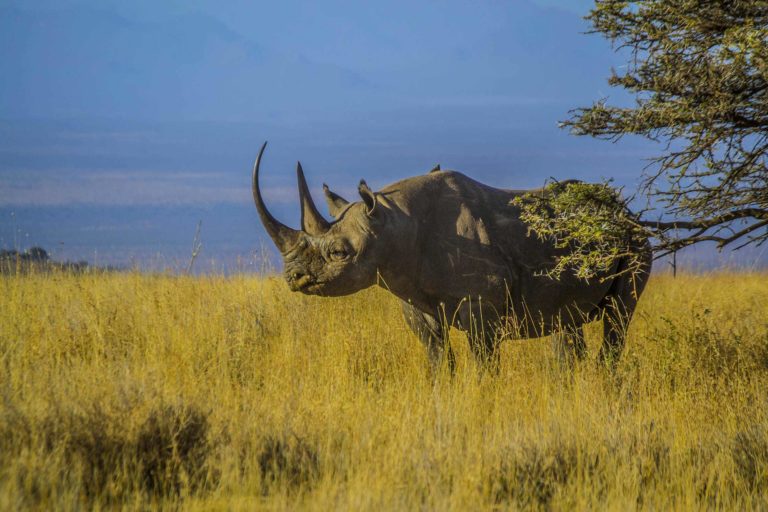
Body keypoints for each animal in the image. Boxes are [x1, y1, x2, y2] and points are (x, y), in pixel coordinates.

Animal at [250, 142, 648, 370]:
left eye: (338, 252)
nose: (294, 277)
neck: (394, 226)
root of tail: (624, 210)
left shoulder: (482, 308)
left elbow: (484, 363)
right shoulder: (415, 301)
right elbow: (439, 359)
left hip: (636, 240)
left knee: (618, 317)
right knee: (568, 321)